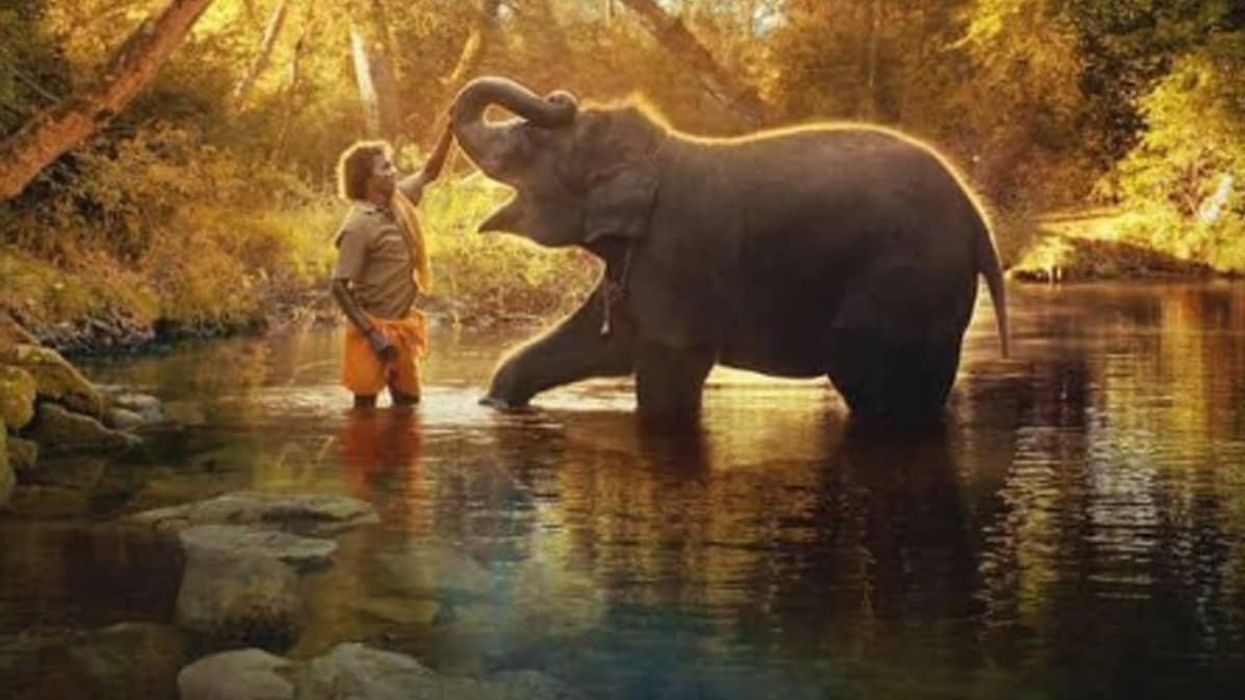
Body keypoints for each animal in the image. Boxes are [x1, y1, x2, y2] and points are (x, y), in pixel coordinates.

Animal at [450, 76, 1009, 420]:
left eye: (530, 145)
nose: (560, 95)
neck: (657, 152)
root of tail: (979, 222)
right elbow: (603, 343)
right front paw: (495, 404)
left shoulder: (676, 255)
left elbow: (668, 368)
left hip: (903, 281)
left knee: (870, 379)